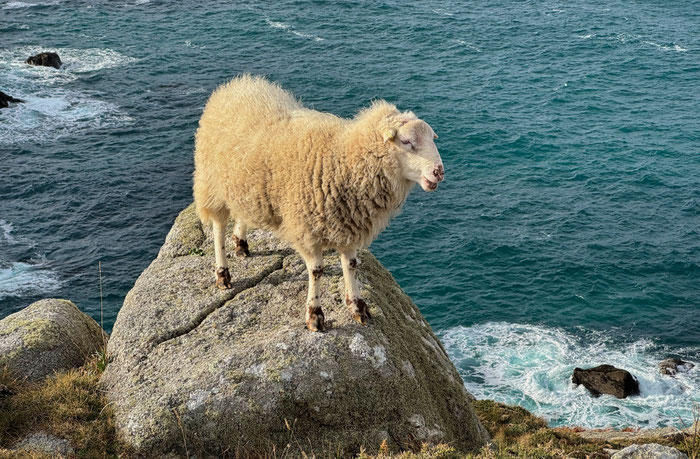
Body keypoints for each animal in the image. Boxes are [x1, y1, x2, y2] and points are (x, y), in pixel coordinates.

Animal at [193, 75, 444, 331]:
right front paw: (315, 315)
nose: (439, 171)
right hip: (212, 185)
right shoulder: (308, 230)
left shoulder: (348, 227)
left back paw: (241, 244)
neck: (344, 159)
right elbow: (316, 271)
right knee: (218, 229)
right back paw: (222, 273)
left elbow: (351, 264)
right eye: (406, 141)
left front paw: (357, 306)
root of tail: (236, 84)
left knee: (242, 213)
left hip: (243, 187)